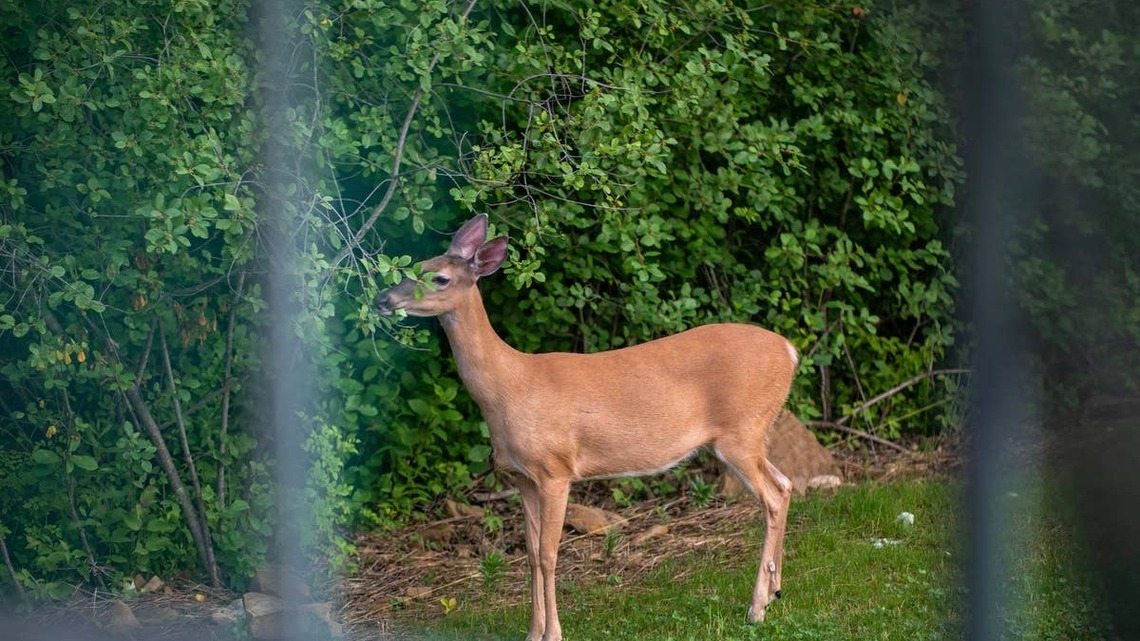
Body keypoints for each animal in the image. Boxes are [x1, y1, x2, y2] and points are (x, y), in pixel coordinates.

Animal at [376, 214, 799, 641]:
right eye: (416, 265)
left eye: (440, 278)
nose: (383, 300)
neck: (509, 387)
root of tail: (790, 351)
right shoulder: (522, 477)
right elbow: (531, 555)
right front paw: (532, 633)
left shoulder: (555, 470)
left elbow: (548, 554)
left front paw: (553, 634)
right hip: (748, 435)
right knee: (785, 483)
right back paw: (776, 591)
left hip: (741, 431)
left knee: (773, 495)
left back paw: (756, 608)